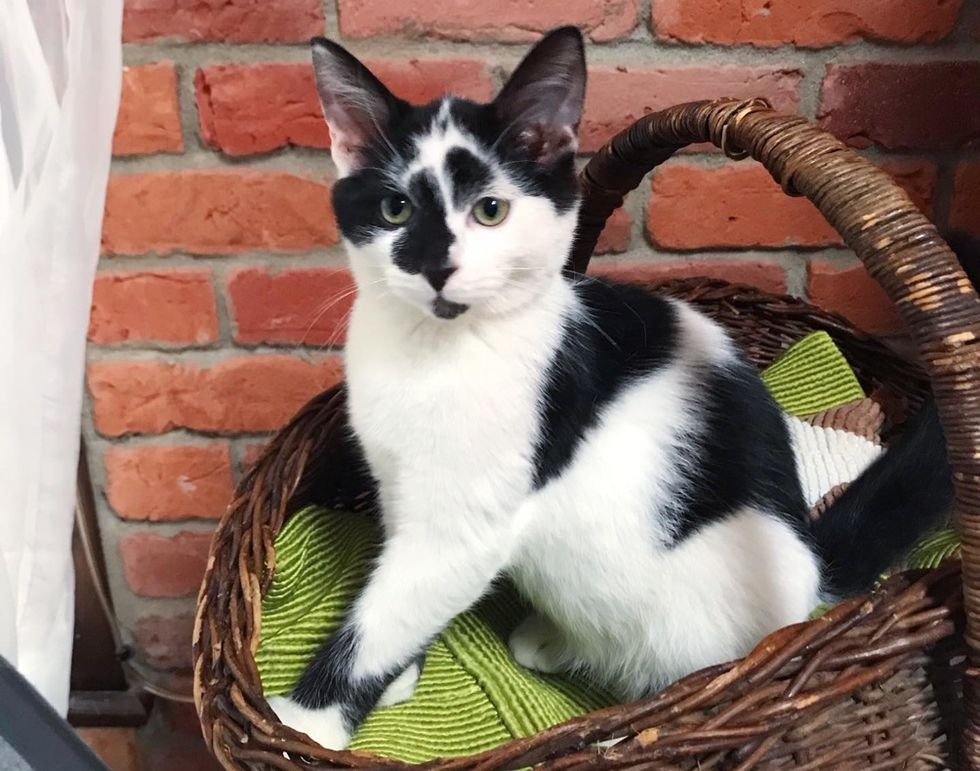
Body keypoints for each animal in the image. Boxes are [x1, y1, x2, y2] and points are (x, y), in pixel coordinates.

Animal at [266, 27, 948, 752]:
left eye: (490, 210)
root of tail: (812, 575)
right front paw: (397, 674)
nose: (436, 267)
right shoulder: (401, 484)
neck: (434, 350)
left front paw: (309, 720)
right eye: (395, 208)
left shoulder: (463, 525)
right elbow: (399, 593)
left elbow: (387, 612)